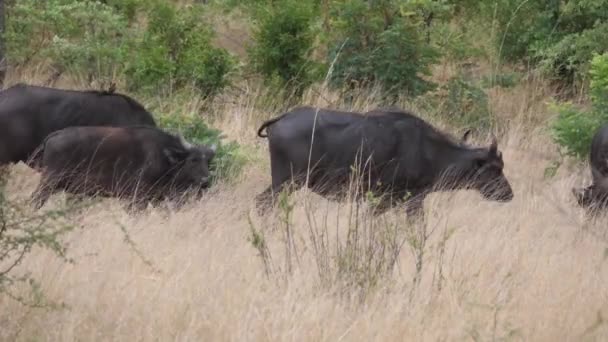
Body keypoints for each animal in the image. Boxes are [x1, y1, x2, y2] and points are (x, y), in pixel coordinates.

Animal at [30, 126, 217, 211]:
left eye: (208, 161)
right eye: (193, 160)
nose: (206, 181)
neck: (164, 157)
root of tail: (54, 136)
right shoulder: (137, 200)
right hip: (48, 183)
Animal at [255, 106, 512, 219]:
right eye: (495, 169)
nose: (509, 194)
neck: (428, 150)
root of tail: (282, 118)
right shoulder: (396, 200)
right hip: (285, 182)